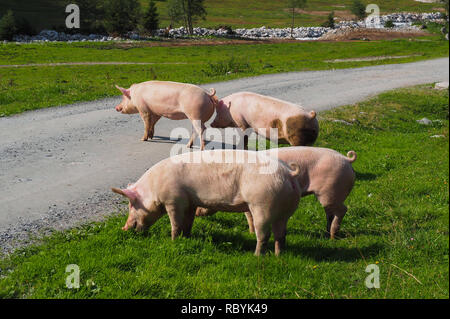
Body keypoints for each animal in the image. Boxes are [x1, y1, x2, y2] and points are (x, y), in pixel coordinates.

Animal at [111, 150, 302, 258]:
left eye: (131, 205)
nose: (123, 228)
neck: (154, 187)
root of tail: (289, 174)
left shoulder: (174, 200)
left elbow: (175, 223)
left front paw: (173, 240)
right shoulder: (190, 202)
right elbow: (188, 222)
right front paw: (186, 237)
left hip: (262, 205)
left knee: (264, 234)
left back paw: (256, 256)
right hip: (286, 210)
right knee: (281, 234)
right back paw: (278, 256)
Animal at [197, 146, 358, 239]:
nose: (197, 212)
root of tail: (346, 159)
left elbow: (249, 216)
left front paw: (251, 233)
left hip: (330, 191)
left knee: (343, 209)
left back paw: (332, 235)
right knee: (330, 212)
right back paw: (327, 234)